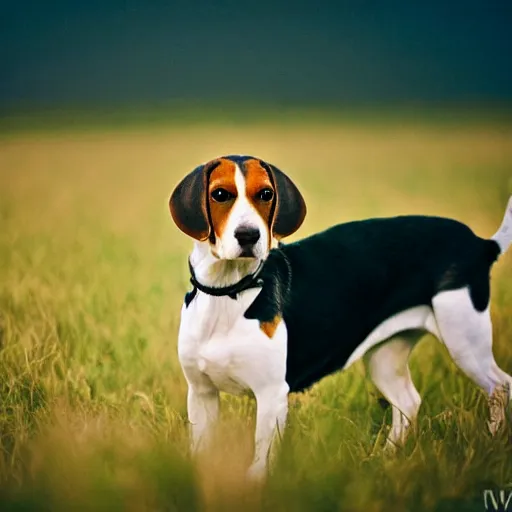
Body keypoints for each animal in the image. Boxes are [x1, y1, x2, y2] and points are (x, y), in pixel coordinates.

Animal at [169, 155, 512, 480]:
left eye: (265, 194)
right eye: (220, 194)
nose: (249, 235)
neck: (229, 292)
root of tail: (481, 244)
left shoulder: (271, 393)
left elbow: (260, 462)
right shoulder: (201, 393)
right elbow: (202, 452)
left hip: (464, 339)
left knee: (500, 386)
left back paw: (492, 445)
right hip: (386, 358)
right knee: (409, 402)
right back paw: (383, 459)